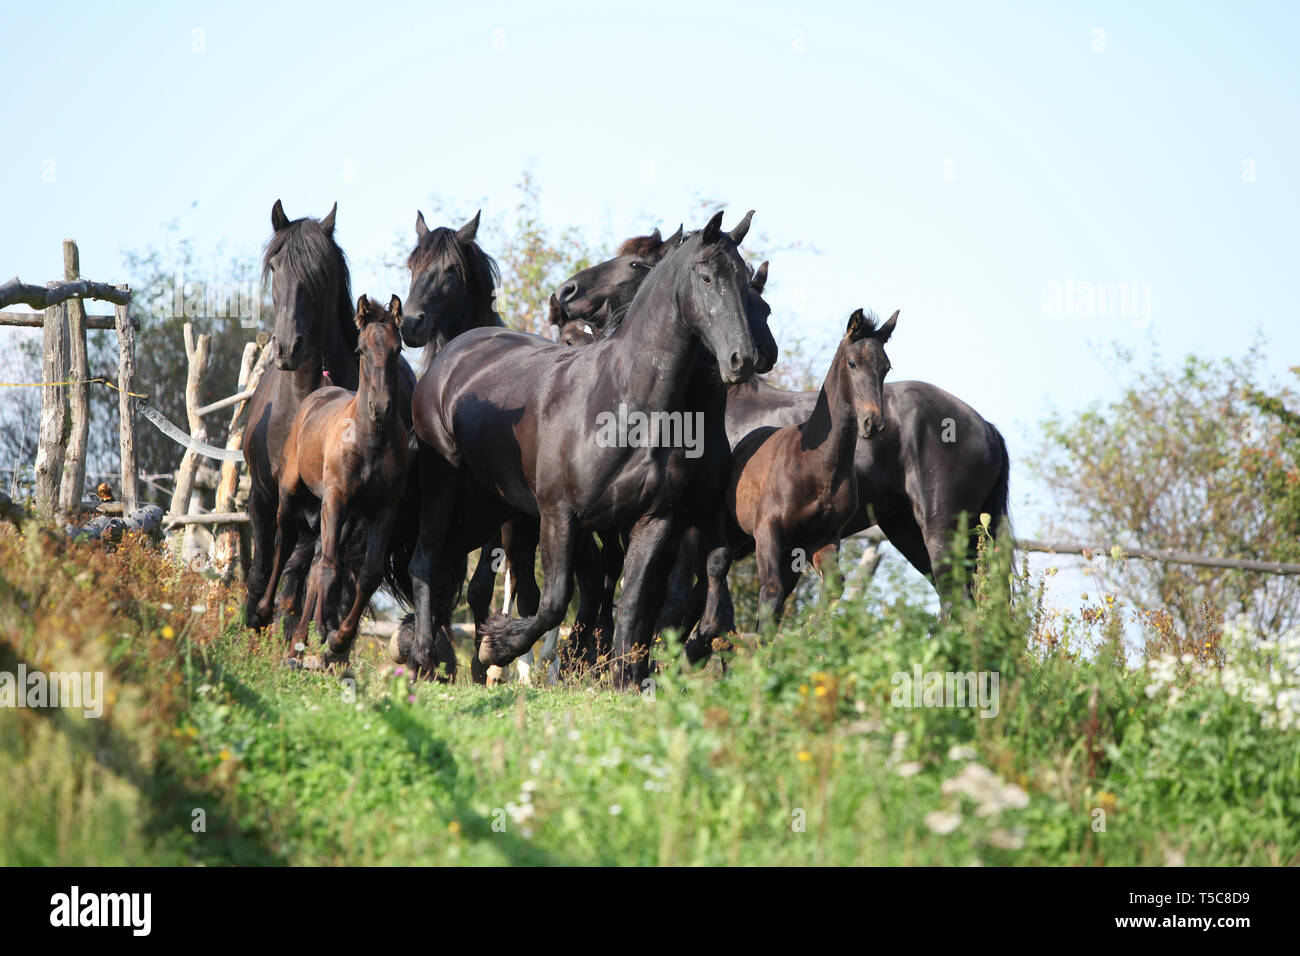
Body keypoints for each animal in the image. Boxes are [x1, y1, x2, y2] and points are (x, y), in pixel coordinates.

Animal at [257, 293, 408, 665]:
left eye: (398, 348)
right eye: (361, 349)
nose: (381, 407)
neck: (370, 442)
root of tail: (321, 391)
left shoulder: (384, 510)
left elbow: (368, 574)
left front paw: (338, 639)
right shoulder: (335, 499)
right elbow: (328, 567)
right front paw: (324, 631)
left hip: (343, 516)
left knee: (315, 564)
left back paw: (299, 642)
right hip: (293, 494)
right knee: (286, 544)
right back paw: (266, 613)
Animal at [408, 213, 759, 686]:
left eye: (745, 281)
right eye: (705, 277)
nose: (744, 358)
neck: (623, 403)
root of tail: (451, 354)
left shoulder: (653, 521)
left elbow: (631, 603)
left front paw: (624, 680)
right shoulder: (559, 515)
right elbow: (553, 601)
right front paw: (498, 646)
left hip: (490, 506)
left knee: (447, 561)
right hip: (446, 488)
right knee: (427, 557)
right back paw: (423, 658)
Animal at [728, 310, 899, 632]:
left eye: (886, 366)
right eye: (852, 363)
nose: (873, 423)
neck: (820, 466)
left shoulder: (823, 538)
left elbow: (833, 588)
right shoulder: (768, 530)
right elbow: (770, 594)